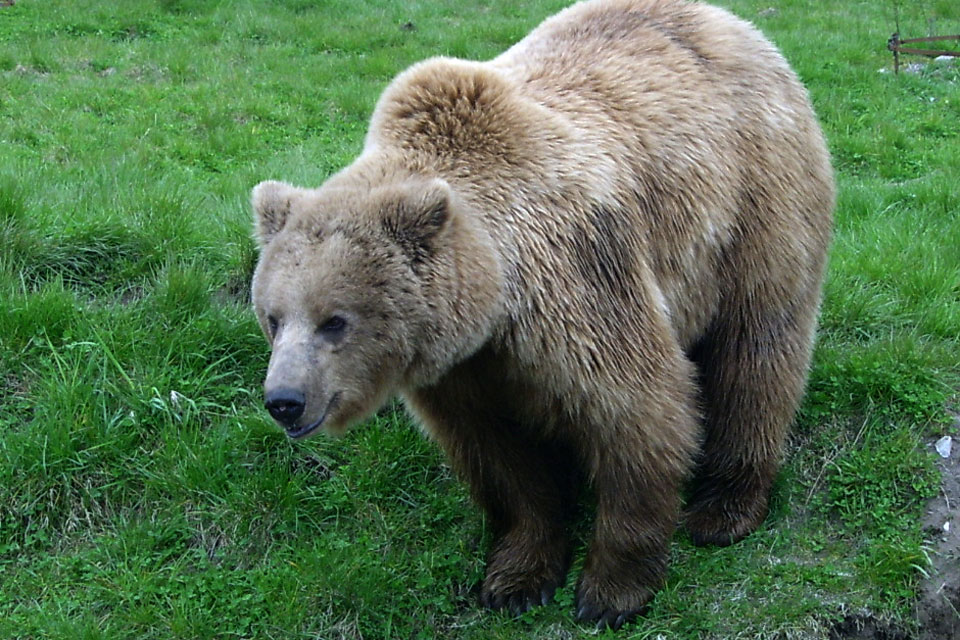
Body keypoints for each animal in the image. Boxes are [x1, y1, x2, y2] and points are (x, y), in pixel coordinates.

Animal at [249, 0, 832, 632]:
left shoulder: (574, 286)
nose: (284, 400)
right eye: (273, 318)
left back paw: (725, 507)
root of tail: (734, 24)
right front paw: (516, 579)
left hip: (756, 202)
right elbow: (503, 461)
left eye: (334, 320)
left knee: (757, 347)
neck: (493, 299)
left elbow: (638, 412)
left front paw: (610, 592)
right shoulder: (464, 371)